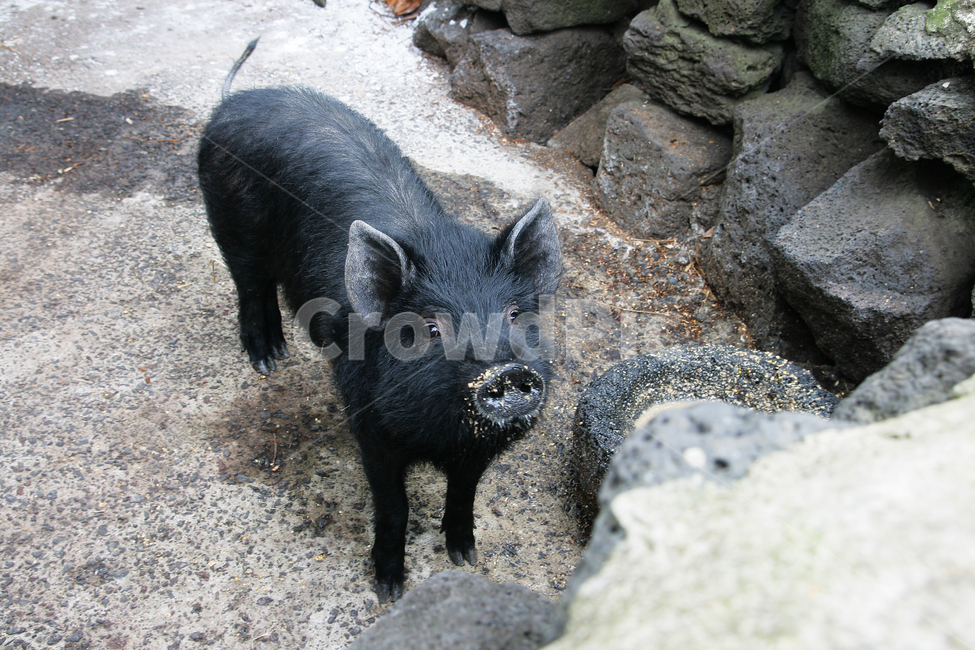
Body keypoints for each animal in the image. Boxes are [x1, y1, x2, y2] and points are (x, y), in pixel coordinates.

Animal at [197, 40, 562, 602]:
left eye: (516, 314)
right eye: (429, 328)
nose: (507, 371)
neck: (442, 436)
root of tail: (234, 101)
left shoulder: (478, 447)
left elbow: (464, 492)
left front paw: (465, 555)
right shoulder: (369, 425)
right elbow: (394, 506)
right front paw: (389, 589)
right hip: (231, 223)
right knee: (249, 285)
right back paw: (267, 360)